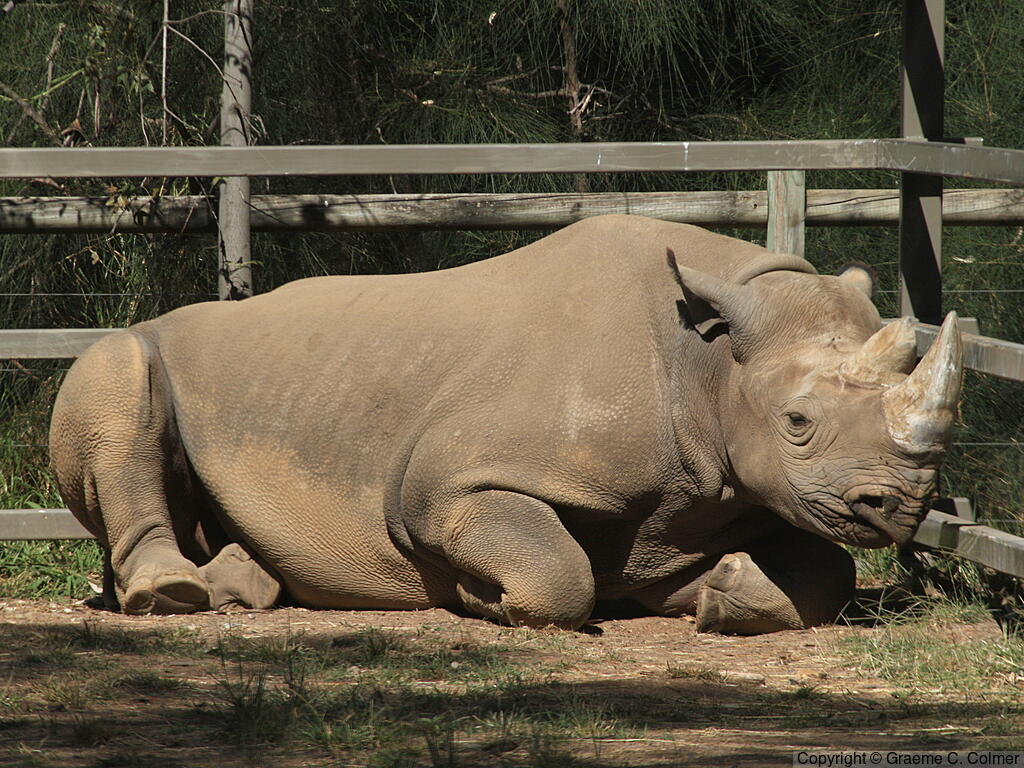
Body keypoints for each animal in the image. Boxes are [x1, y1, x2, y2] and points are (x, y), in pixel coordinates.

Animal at [49, 215, 962, 634]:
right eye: (798, 420)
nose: (898, 505)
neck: (708, 359)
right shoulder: (451, 482)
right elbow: (559, 572)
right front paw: (481, 601)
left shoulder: (726, 490)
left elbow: (827, 570)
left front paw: (719, 591)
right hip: (134, 351)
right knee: (117, 370)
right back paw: (174, 596)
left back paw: (245, 586)